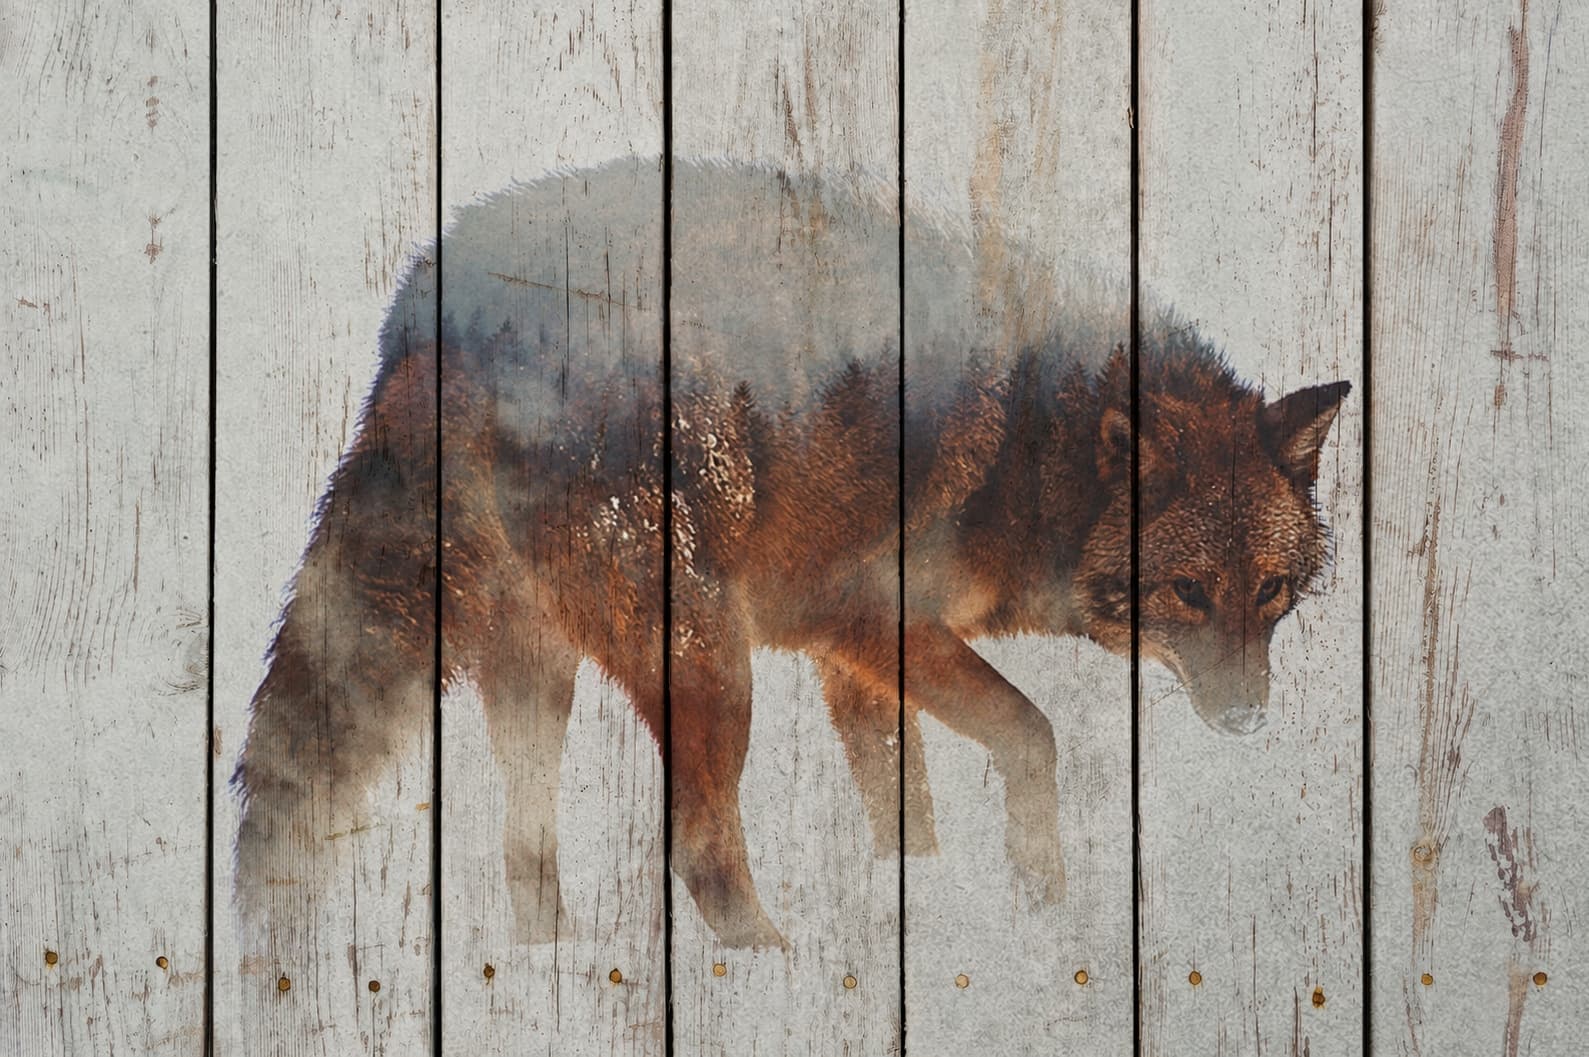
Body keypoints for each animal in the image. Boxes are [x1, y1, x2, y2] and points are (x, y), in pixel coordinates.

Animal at [233, 158, 1350, 950]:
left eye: (1270, 591)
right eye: (1186, 591)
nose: (1248, 721)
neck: (1041, 445)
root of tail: (443, 306)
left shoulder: (853, 664)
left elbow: (907, 809)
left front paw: (928, 904)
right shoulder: (861, 619)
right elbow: (1032, 736)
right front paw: (1040, 901)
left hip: (539, 672)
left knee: (524, 849)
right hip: (708, 662)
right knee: (695, 847)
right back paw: (775, 970)